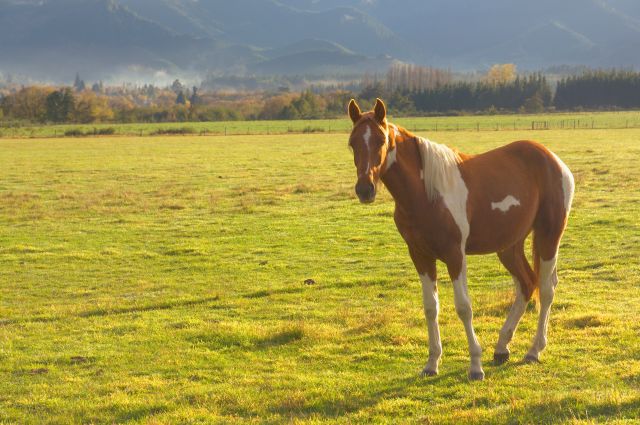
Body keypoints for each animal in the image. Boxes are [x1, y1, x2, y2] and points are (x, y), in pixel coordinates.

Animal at [346, 98, 574, 380]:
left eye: (380, 140)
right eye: (352, 142)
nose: (365, 189)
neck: (426, 193)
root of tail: (553, 160)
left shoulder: (455, 255)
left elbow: (464, 307)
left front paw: (475, 366)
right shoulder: (420, 256)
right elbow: (430, 307)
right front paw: (432, 363)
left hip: (549, 236)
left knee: (546, 288)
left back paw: (534, 351)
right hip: (509, 246)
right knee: (526, 283)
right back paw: (502, 348)